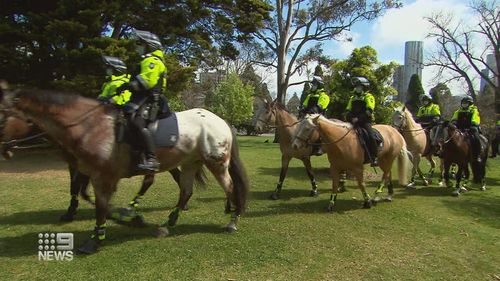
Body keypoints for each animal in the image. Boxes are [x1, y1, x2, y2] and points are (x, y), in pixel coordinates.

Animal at [0, 88, 250, 254]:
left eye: (1, 117)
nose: (5, 150)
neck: (92, 127)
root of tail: (221, 120)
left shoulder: (103, 177)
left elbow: (100, 207)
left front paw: (96, 239)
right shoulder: (93, 173)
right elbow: (89, 197)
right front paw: (128, 219)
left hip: (216, 162)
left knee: (230, 187)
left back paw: (232, 221)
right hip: (190, 162)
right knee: (186, 191)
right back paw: (167, 224)